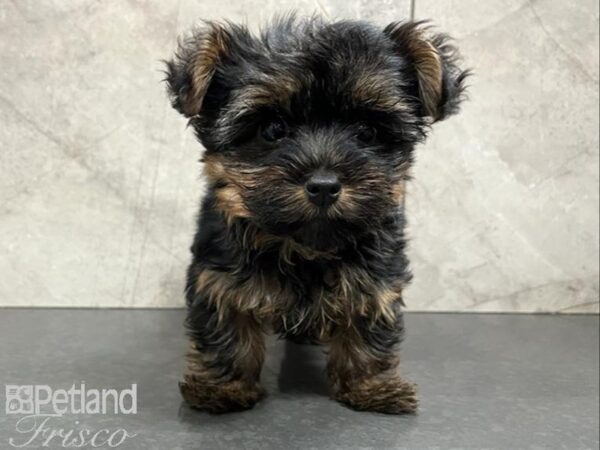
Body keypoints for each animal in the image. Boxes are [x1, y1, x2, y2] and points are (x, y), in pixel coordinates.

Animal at [164, 14, 468, 414]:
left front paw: (371, 387)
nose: (324, 185)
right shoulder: (220, 273)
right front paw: (223, 387)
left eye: (366, 131)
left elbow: (368, 323)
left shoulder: (378, 275)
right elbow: (228, 326)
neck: (305, 247)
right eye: (273, 129)